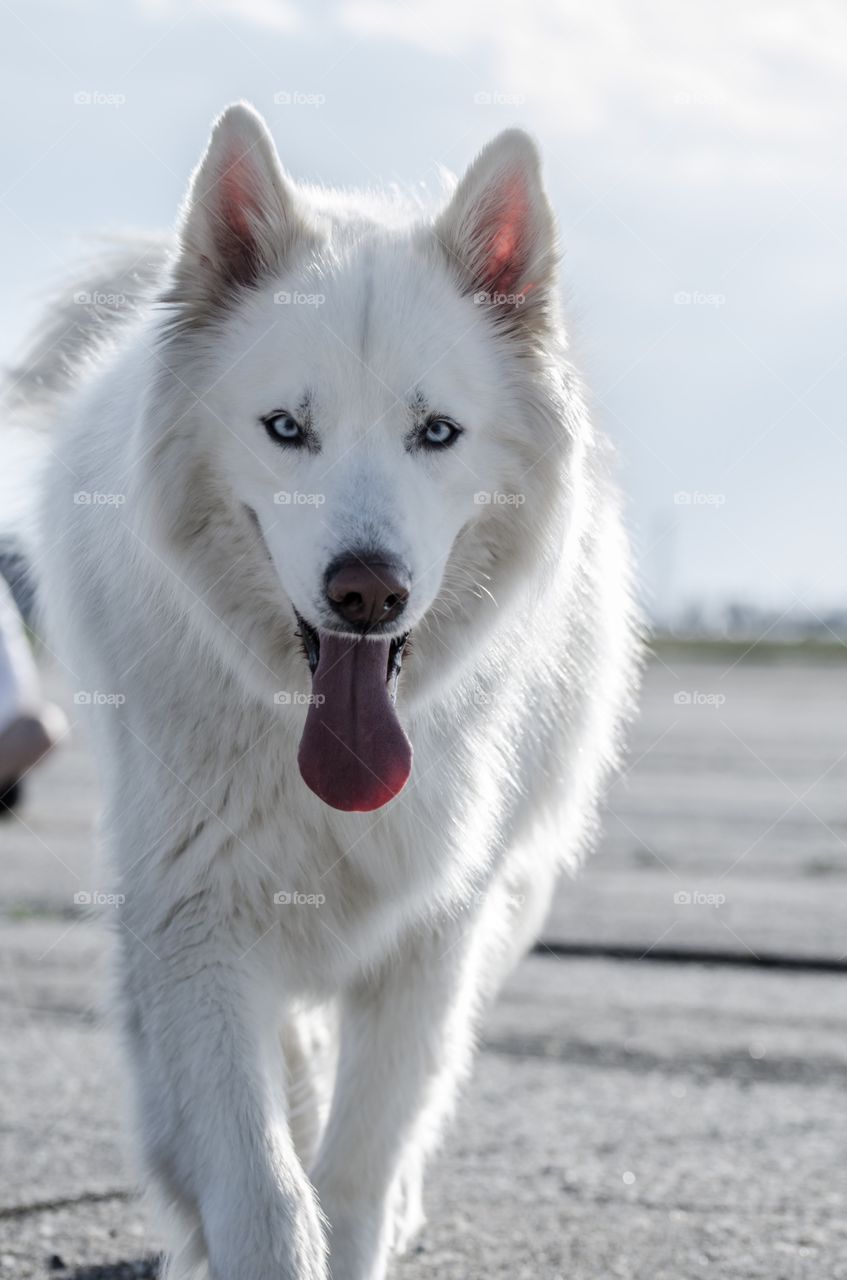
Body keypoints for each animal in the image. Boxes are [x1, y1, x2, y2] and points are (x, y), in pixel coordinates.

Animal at [33, 104, 644, 1274]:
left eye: (435, 433)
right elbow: (261, 1184)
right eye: (287, 428)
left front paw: (361, 1210)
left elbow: (360, 1163)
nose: (367, 590)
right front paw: (240, 1216)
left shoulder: (432, 937)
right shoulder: (194, 914)